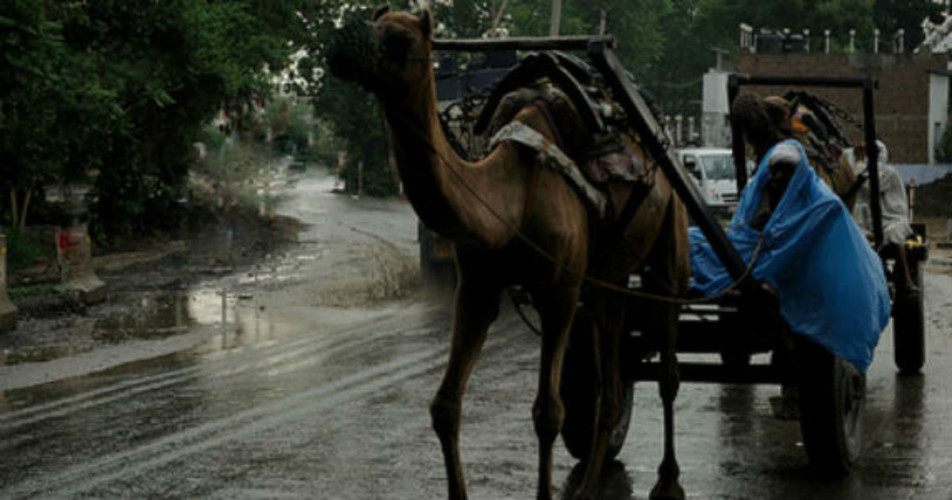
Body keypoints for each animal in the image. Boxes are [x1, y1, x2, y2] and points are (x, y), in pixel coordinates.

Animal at [330, 6, 688, 500]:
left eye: (400, 39)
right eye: (372, 20)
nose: (342, 43)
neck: (510, 199)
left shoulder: (559, 291)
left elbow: (548, 413)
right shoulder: (477, 287)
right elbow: (444, 406)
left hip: (671, 243)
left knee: (669, 371)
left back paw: (668, 479)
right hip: (609, 279)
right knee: (612, 386)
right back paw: (587, 486)